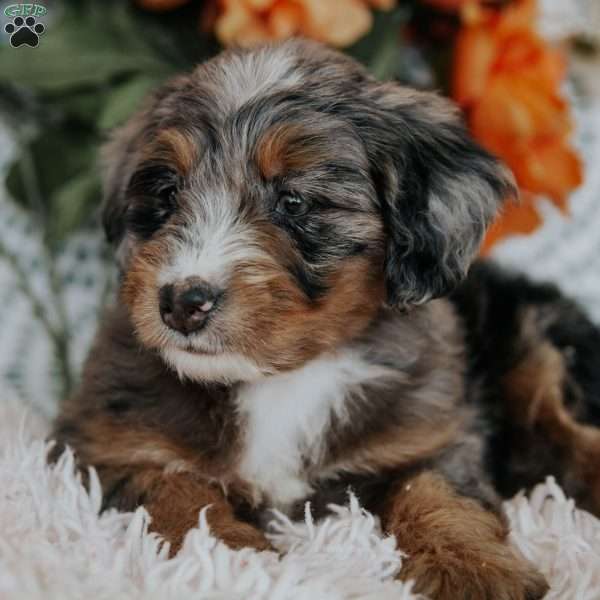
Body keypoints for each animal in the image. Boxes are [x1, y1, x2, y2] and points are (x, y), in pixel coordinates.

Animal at [51, 39, 600, 596]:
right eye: (167, 194)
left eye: (294, 201)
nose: (182, 303)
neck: (281, 379)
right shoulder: (104, 443)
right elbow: (172, 490)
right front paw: (230, 562)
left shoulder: (430, 434)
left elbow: (437, 494)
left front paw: (473, 571)